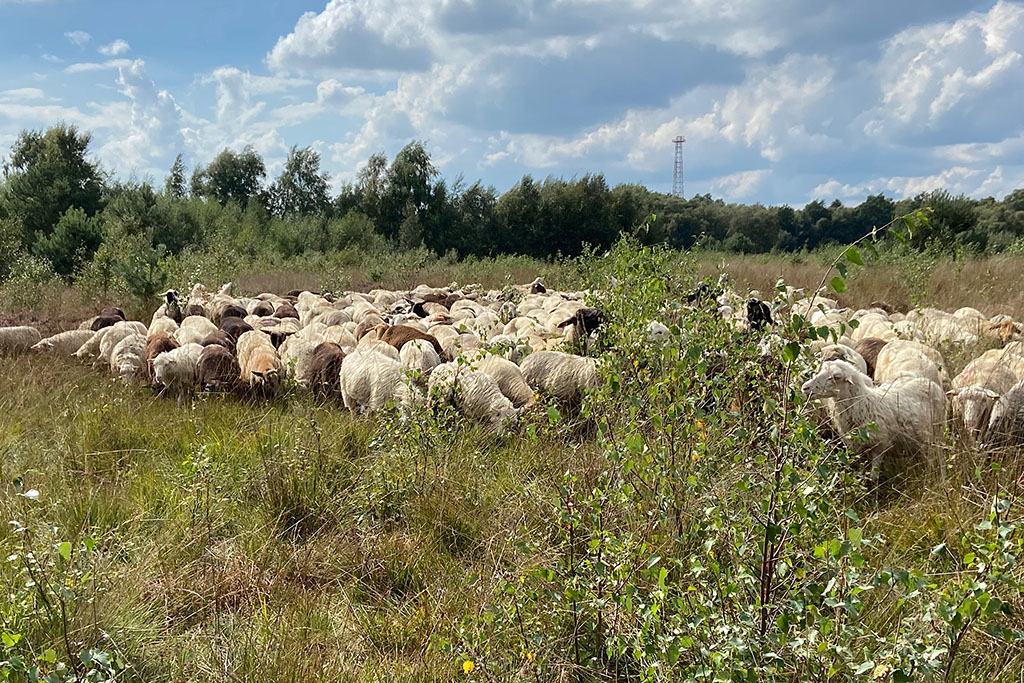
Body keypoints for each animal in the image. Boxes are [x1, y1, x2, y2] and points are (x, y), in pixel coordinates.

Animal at [801, 360, 947, 482]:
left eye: (836, 377)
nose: (805, 387)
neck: (865, 404)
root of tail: (931, 383)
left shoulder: (880, 444)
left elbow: (873, 477)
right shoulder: (858, 448)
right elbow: (860, 474)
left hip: (937, 431)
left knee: (938, 456)